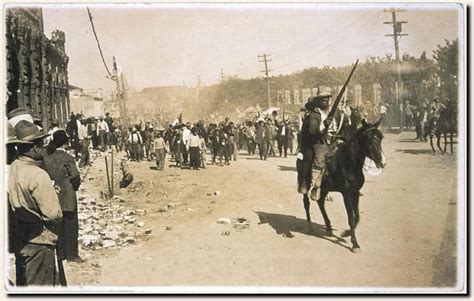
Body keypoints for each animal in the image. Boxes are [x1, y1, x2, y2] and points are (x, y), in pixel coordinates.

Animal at [304, 118, 386, 252]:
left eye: (380, 137)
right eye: (368, 138)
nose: (382, 161)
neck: (350, 164)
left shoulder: (355, 192)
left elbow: (357, 216)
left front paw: (345, 233)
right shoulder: (346, 194)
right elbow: (351, 218)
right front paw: (355, 244)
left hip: (325, 188)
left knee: (320, 202)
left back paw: (328, 225)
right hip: (305, 184)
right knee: (306, 203)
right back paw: (310, 226)